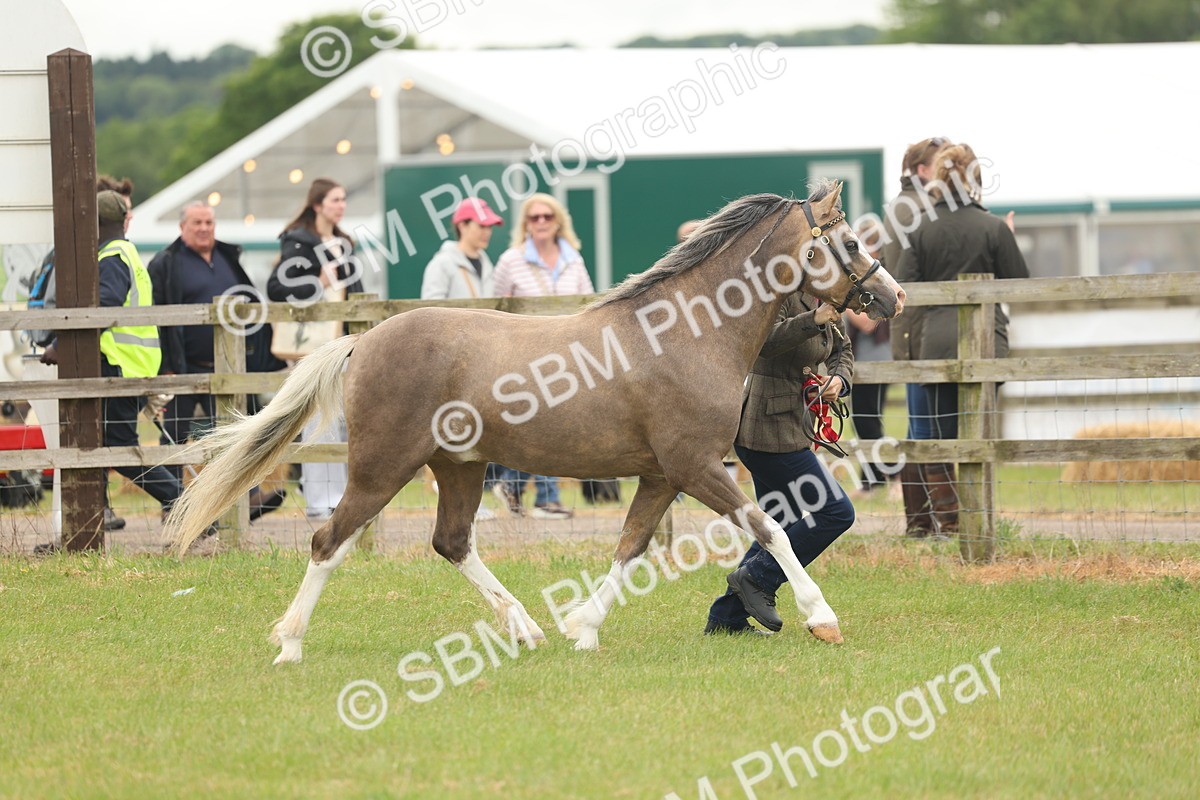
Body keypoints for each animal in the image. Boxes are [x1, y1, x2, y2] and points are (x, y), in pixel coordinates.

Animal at [167, 180, 905, 664]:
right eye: (847, 239)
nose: (892, 295)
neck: (685, 334)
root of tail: (364, 340)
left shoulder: (662, 476)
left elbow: (631, 547)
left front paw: (583, 628)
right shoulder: (696, 468)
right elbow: (770, 530)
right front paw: (822, 618)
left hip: (459, 468)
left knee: (452, 543)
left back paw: (526, 627)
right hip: (381, 469)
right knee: (329, 541)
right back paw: (289, 644)